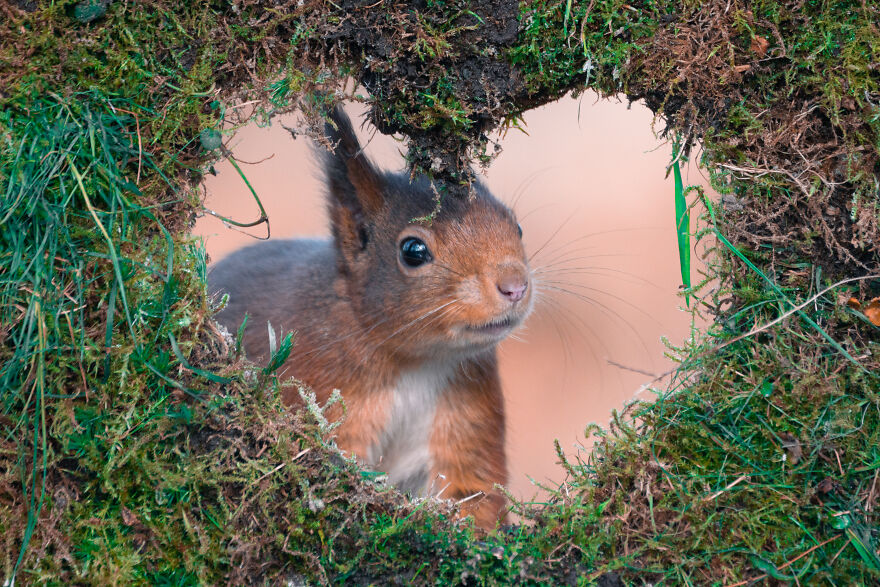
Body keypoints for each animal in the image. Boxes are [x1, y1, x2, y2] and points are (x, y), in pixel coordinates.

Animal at [208, 107, 534, 529]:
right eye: (413, 250)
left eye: (517, 225)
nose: (515, 287)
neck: (416, 363)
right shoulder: (323, 395)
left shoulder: (467, 421)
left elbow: (475, 497)